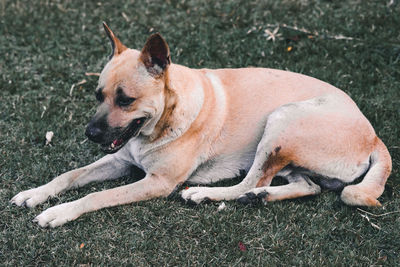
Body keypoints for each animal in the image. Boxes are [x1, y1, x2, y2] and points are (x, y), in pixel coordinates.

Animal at [9, 23, 390, 228]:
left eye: (125, 100)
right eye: (97, 94)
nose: (91, 134)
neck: (163, 120)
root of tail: (374, 137)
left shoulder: (157, 182)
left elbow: (96, 195)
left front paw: (60, 212)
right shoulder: (119, 159)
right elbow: (69, 176)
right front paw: (35, 194)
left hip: (282, 121)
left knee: (250, 180)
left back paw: (208, 194)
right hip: (289, 154)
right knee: (303, 186)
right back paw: (261, 197)